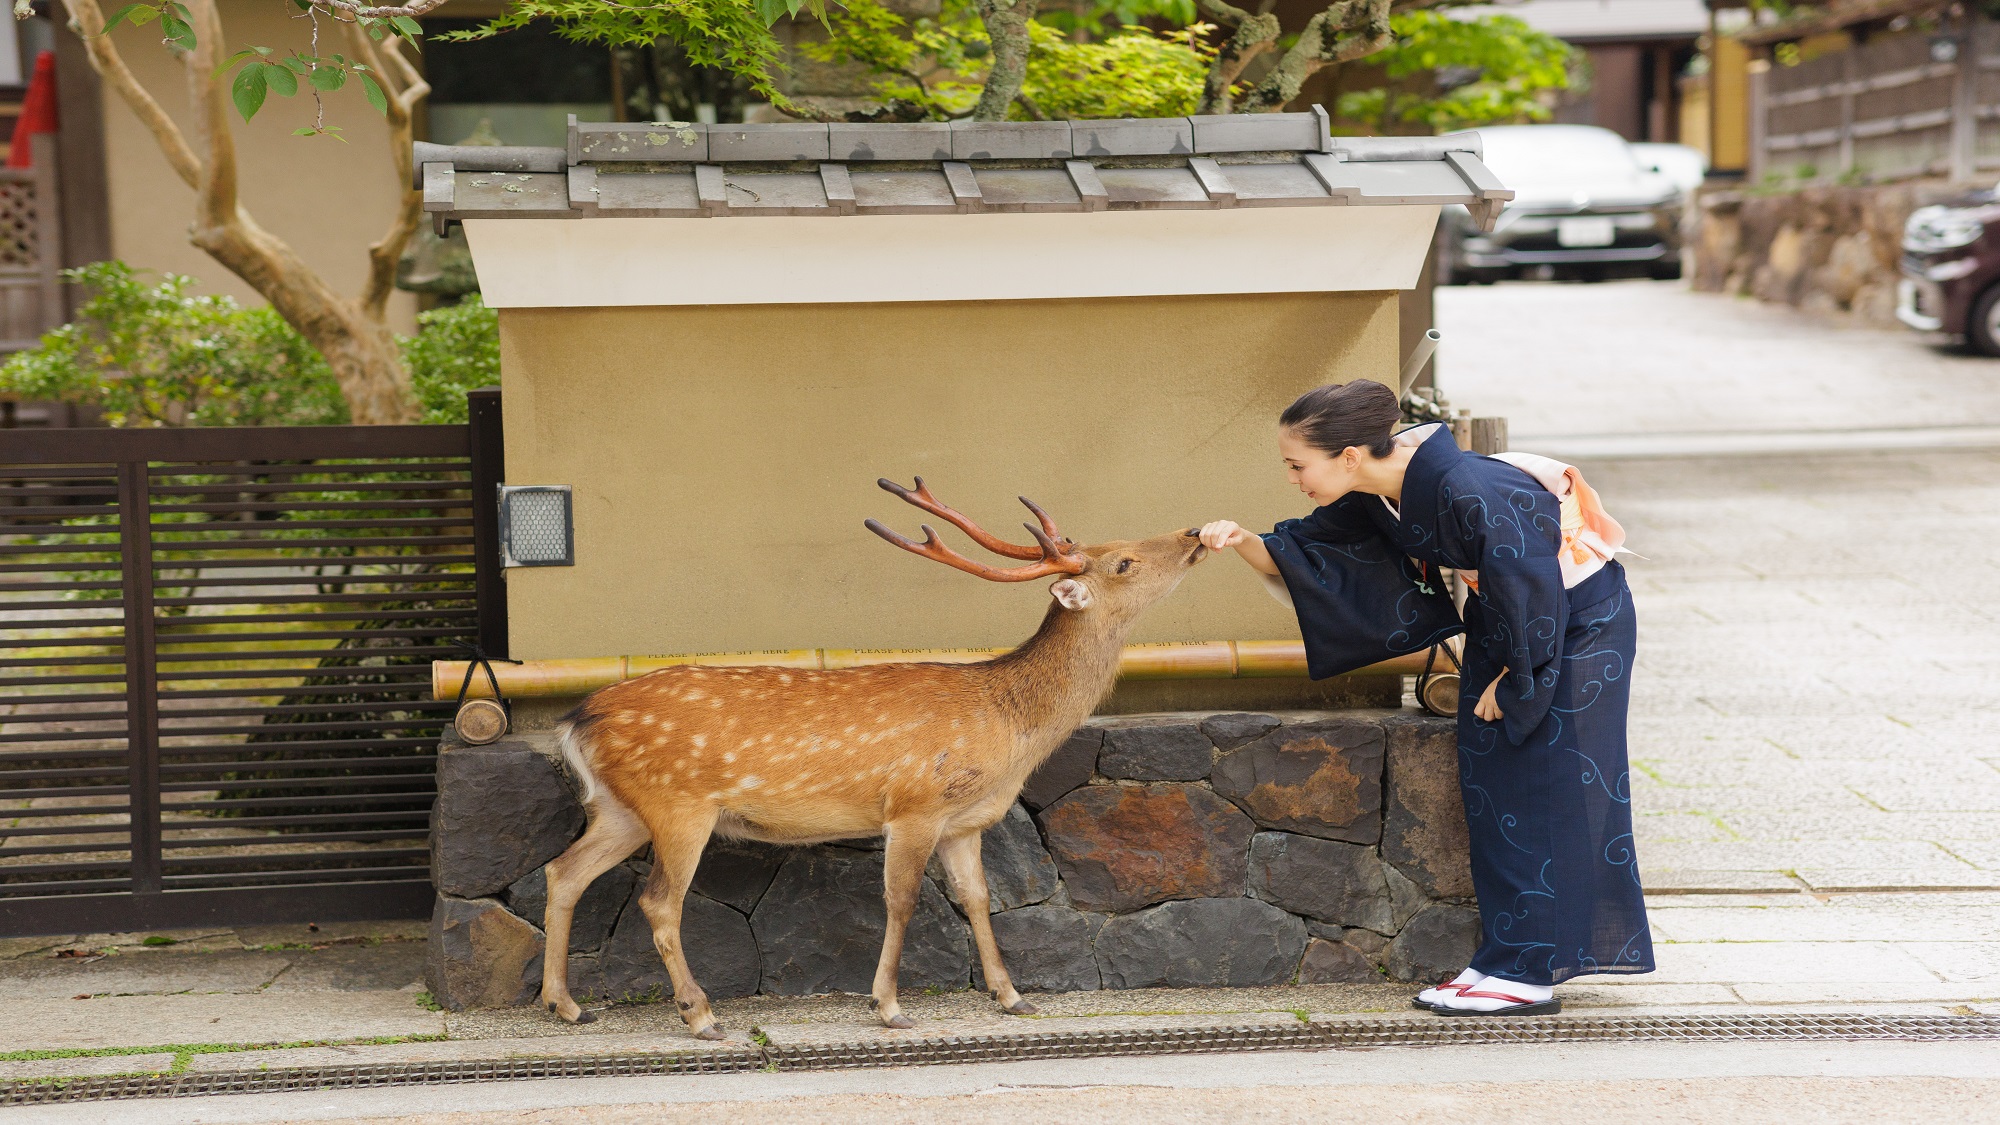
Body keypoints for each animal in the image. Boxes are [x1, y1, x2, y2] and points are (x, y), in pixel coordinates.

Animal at [540, 472, 1208, 1032]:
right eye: (1124, 561)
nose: (1195, 532)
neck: (1010, 730)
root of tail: (576, 721)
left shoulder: (964, 822)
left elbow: (979, 899)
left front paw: (1013, 996)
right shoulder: (914, 804)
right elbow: (902, 899)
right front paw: (887, 1006)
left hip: (621, 808)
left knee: (563, 872)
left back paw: (566, 1005)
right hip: (678, 804)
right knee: (658, 902)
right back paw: (699, 1014)